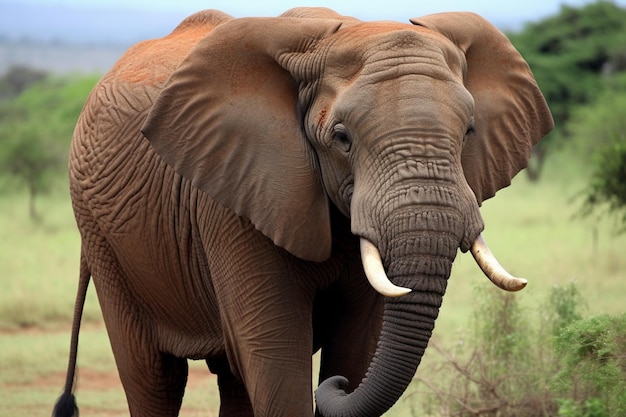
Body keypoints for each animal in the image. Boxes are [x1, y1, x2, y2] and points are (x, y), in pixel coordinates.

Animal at [53, 6, 552, 416]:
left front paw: (344, 371)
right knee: (154, 377)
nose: (338, 387)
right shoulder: (238, 194)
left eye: (469, 132)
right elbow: (276, 356)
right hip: (102, 234)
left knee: (232, 379)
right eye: (341, 138)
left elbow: (357, 343)